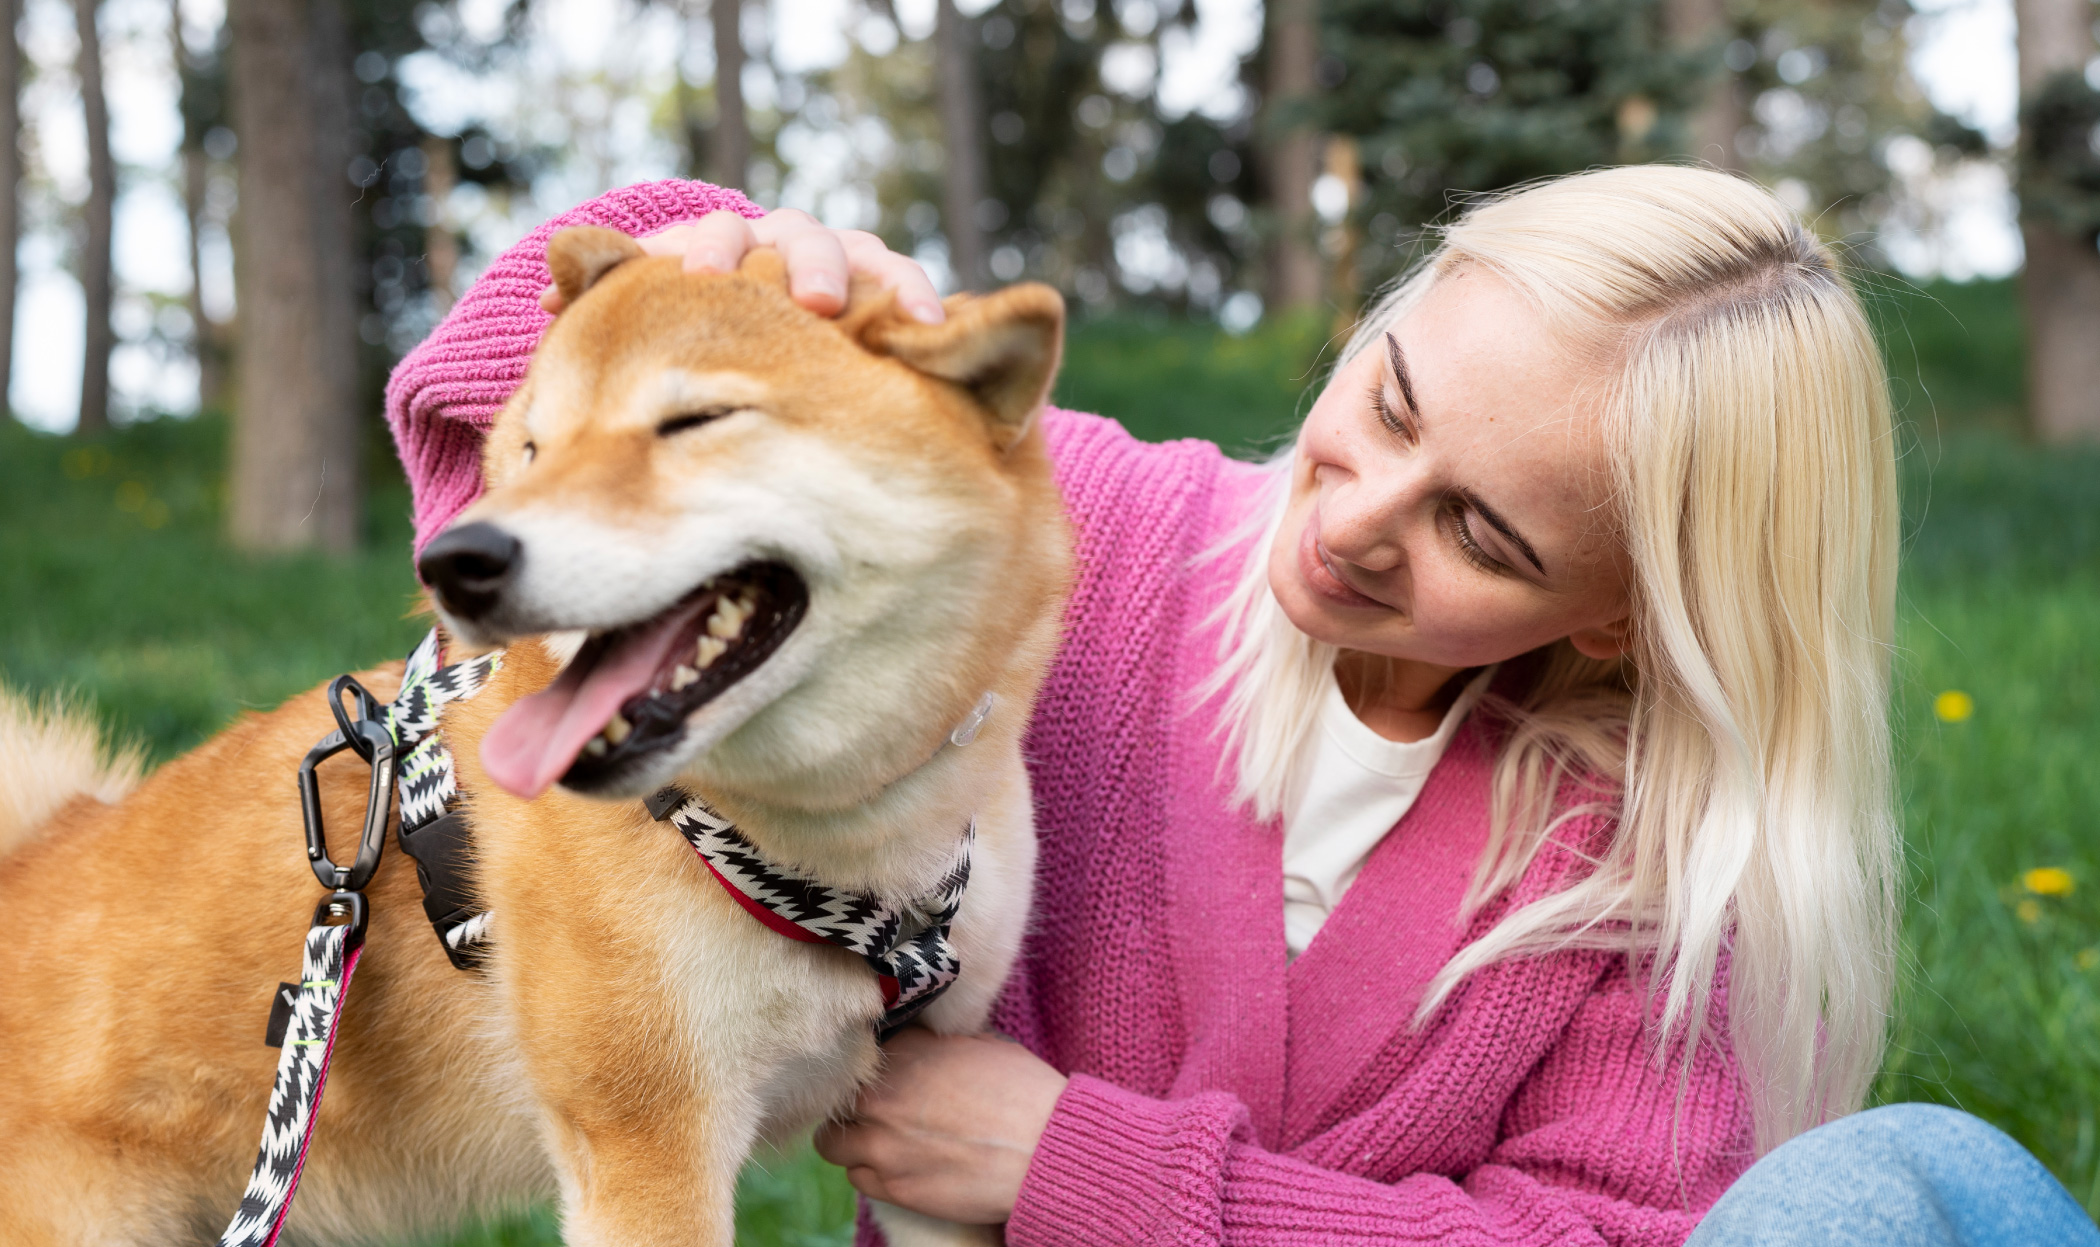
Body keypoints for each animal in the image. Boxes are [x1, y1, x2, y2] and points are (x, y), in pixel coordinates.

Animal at [0, 225, 1075, 1242]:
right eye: (529, 451)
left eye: (697, 422)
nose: (454, 558)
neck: (844, 846)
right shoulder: (649, 1148)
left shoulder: (923, 1124)